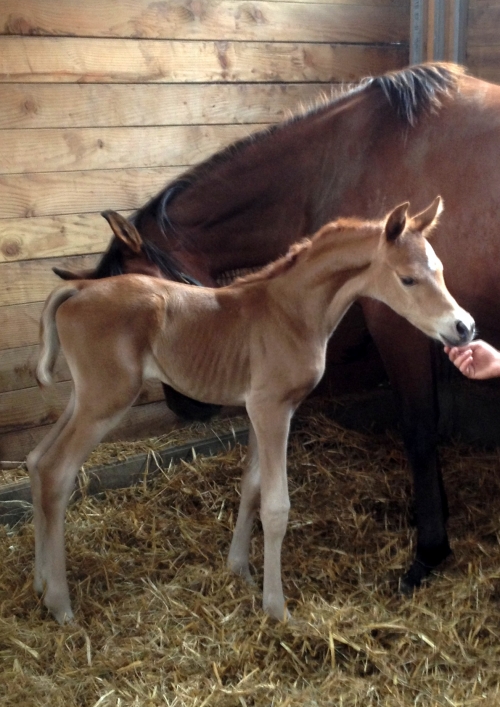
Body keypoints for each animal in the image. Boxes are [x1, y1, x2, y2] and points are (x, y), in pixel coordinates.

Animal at [55, 60, 500, 592]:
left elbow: (418, 428)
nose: (186, 406)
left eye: (150, 298)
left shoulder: (399, 327)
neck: (351, 156)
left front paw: (429, 550)